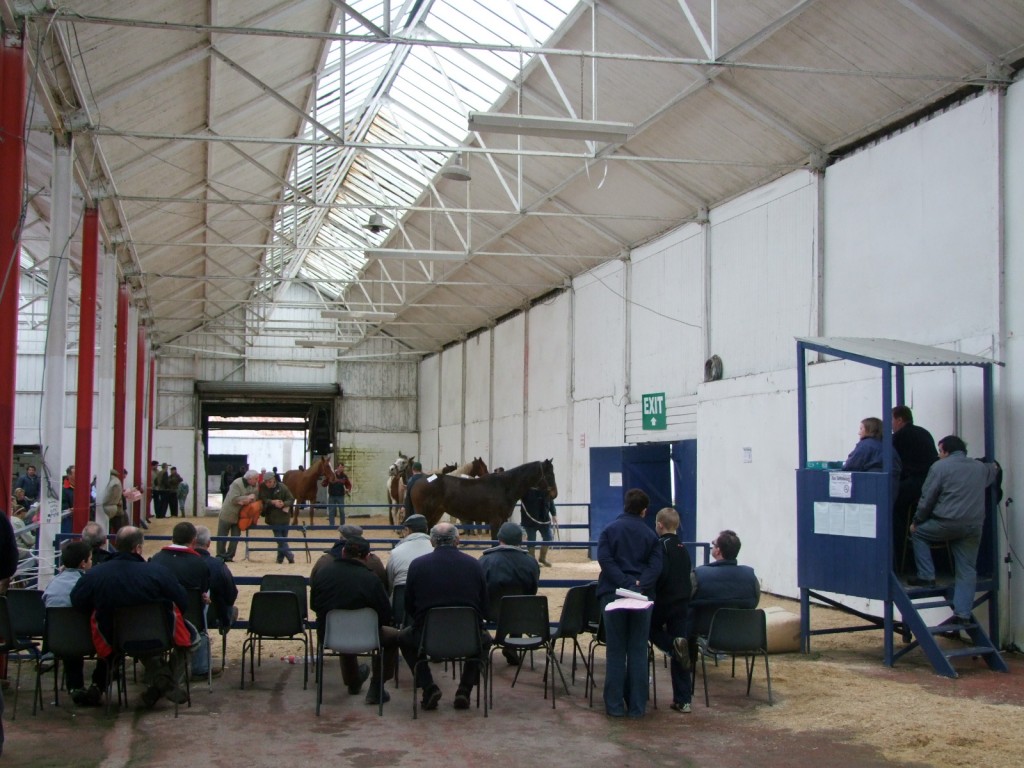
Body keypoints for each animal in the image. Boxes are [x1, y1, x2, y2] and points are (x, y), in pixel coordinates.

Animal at [407, 460, 557, 536]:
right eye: (549, 474)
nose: (554, 494)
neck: (505, 486)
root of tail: (418, 480)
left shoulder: (502, 521)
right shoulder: (495, 521)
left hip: (436, 514)